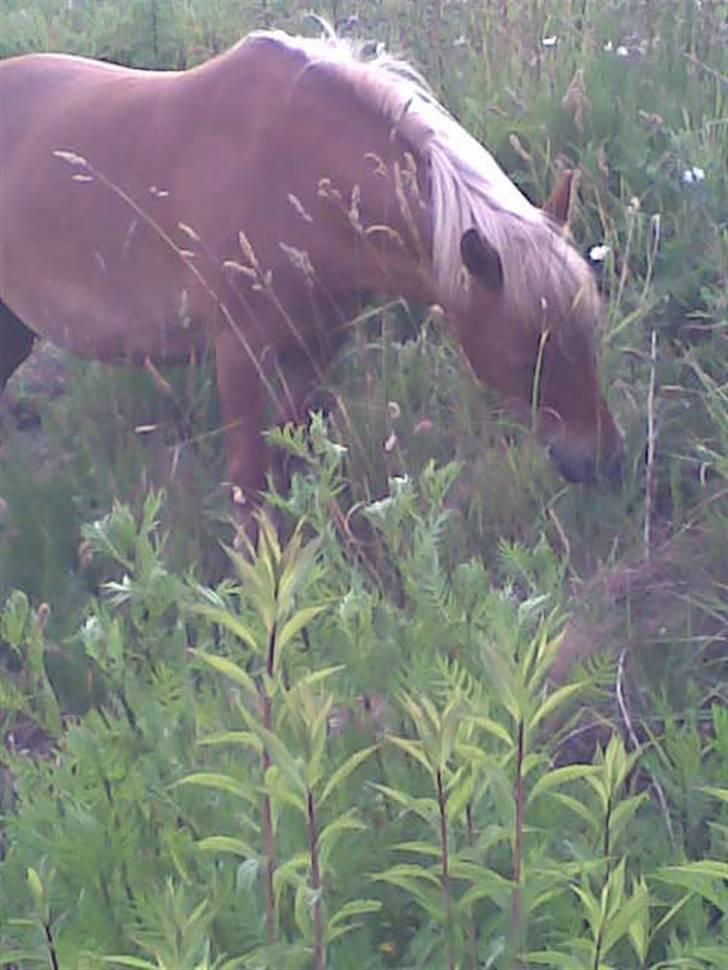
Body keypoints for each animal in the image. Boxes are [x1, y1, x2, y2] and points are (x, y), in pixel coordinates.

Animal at [0, 27, 624, 510]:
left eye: (589, 335)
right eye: (528, 359)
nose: (604, 461)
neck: (296, 174)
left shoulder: (315, 346)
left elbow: (289, 460)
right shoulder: (240, 353)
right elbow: (250, 485)